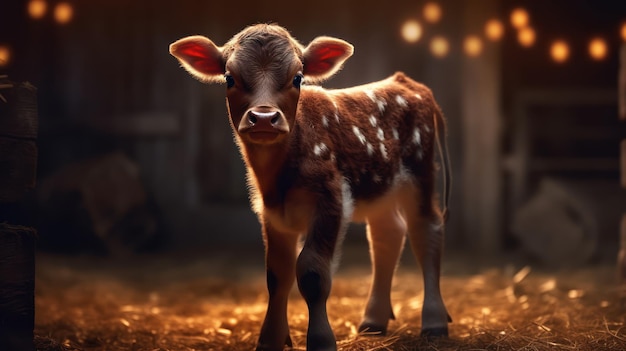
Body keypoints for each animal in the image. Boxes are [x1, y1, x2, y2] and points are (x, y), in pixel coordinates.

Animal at [171, 23, 450, 350]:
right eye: (229, 78)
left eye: (297, 77)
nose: (263, 118)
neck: (280, 178)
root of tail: (406, 81)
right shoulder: (272, 213)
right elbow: (277, 274)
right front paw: (270, 339)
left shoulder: (331, 199)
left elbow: (313, 272)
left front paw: (320, 340)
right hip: (381, 186)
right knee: (388, 234)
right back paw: (373, 322)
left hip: (421, 172)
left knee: (426, 231)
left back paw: (434, 321)